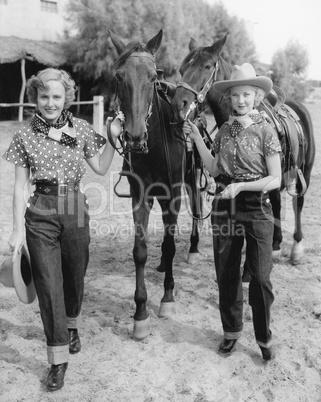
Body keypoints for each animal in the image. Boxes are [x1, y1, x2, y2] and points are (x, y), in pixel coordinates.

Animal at [107, 29, 201, 340]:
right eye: (119, 76)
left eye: (152, 77)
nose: (134, 136)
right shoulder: (140, 195)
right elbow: (140, 251)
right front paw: (140, 313)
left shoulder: (173, 195)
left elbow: (170, 245)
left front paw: (167, 298)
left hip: (191, 183)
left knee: (197, 212)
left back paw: (193, 249)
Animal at [171, 34, 314, 264]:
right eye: (182, 69)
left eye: (207, 66)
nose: (178, 104)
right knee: (276, 202)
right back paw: (276, 245)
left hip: (305, 170)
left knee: (297, 203)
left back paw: (296, 248)